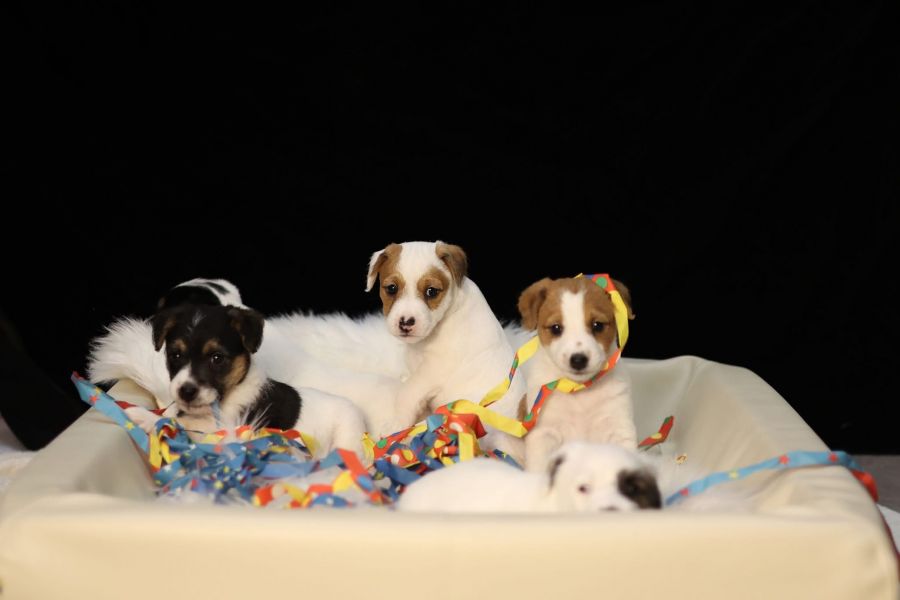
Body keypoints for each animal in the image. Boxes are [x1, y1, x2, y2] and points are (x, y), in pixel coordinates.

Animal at [125, 303, 368, 459]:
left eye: (217, 358)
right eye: (175, 355)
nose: (186, 391)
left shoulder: (225, 427)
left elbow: (180, 422)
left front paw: (142, 416)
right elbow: (171, 414)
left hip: (346, 437)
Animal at [365, 241, 526, 460]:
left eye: (431, 291)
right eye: (391, 288)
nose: (406, 322)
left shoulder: (429, 373)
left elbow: (406, 396)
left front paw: (397, 426)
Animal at [517, 276, 637, 472]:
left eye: (597, 325)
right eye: (556, 328)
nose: (578, 360)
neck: (579, 390)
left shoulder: (618, 428)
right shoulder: (544, 433)